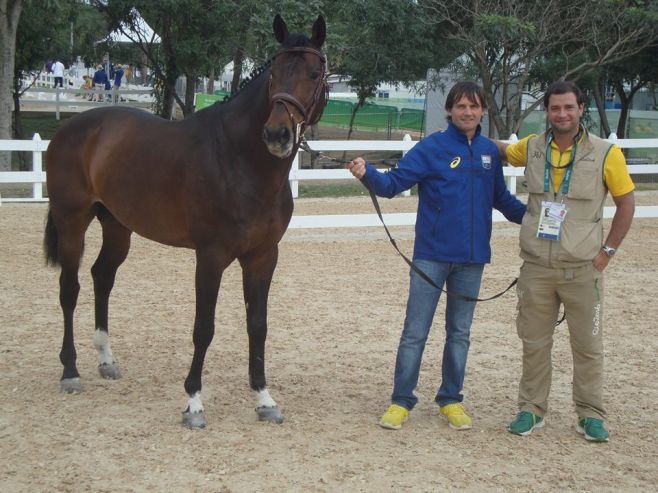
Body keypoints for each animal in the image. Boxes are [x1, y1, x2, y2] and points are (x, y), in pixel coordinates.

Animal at [43, 15, 326, 426]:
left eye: (314, 73)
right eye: (275, 73)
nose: (277, 134)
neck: (240, 160)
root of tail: (69, 129)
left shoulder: (263, 256)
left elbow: (257, 325)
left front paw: (264, 398)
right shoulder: (210, 257)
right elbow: (204, 327)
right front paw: (193, 402)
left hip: (117, 226)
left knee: (102, 277)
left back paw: (106, 360)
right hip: (72, 221)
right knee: (70, 288)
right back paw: (70, 371)